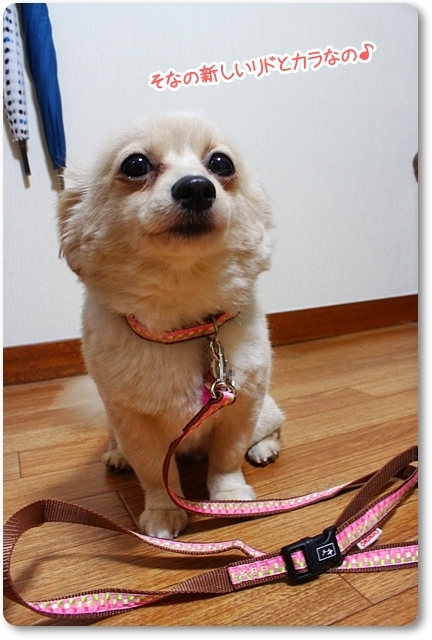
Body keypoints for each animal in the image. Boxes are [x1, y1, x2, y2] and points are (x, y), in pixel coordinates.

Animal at [58, 112, 284, 539]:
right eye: (135, 164)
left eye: (221, 164)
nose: (196, 187)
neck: (182, 320)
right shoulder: (134, 423)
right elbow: (152, 473)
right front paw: (164, 512)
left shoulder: (241, 405)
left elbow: (227, 456)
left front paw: (229, 496)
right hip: (113, 421)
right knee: (116, 442)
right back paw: (116, 456)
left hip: (265, 410)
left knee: (274, 427)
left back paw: (264, 447)